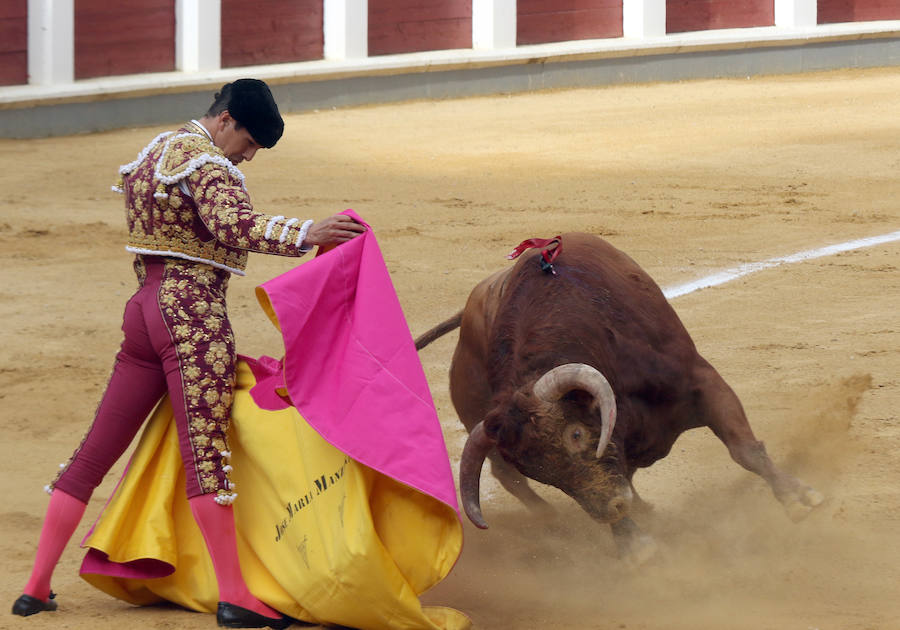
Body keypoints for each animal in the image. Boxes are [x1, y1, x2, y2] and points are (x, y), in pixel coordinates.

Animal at [414, 235, 824, 560]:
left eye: (576, 434)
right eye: (540, 471)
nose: (611, 508)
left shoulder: (702, 383)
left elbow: (745, 450)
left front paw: (799, 499)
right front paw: (635, 546)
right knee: (506, 476)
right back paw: (559, 522)